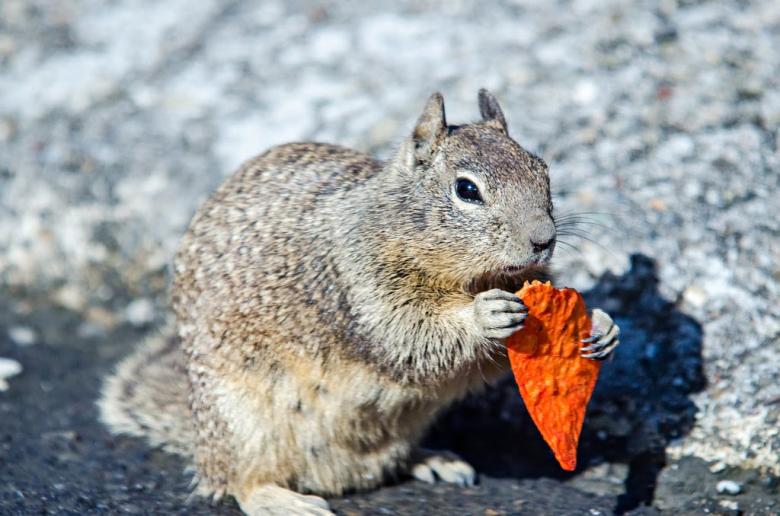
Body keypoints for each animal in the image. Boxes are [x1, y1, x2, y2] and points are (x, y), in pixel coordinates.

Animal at [99, 90, 620, 515]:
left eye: (542, 169)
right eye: (467, 189)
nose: (544, 240)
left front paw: (603, 326)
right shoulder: (357, 287)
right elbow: (410, 338)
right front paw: (483, 316)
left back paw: (433, 459)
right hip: (240, 422)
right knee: (235, 482)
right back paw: (283, 501)